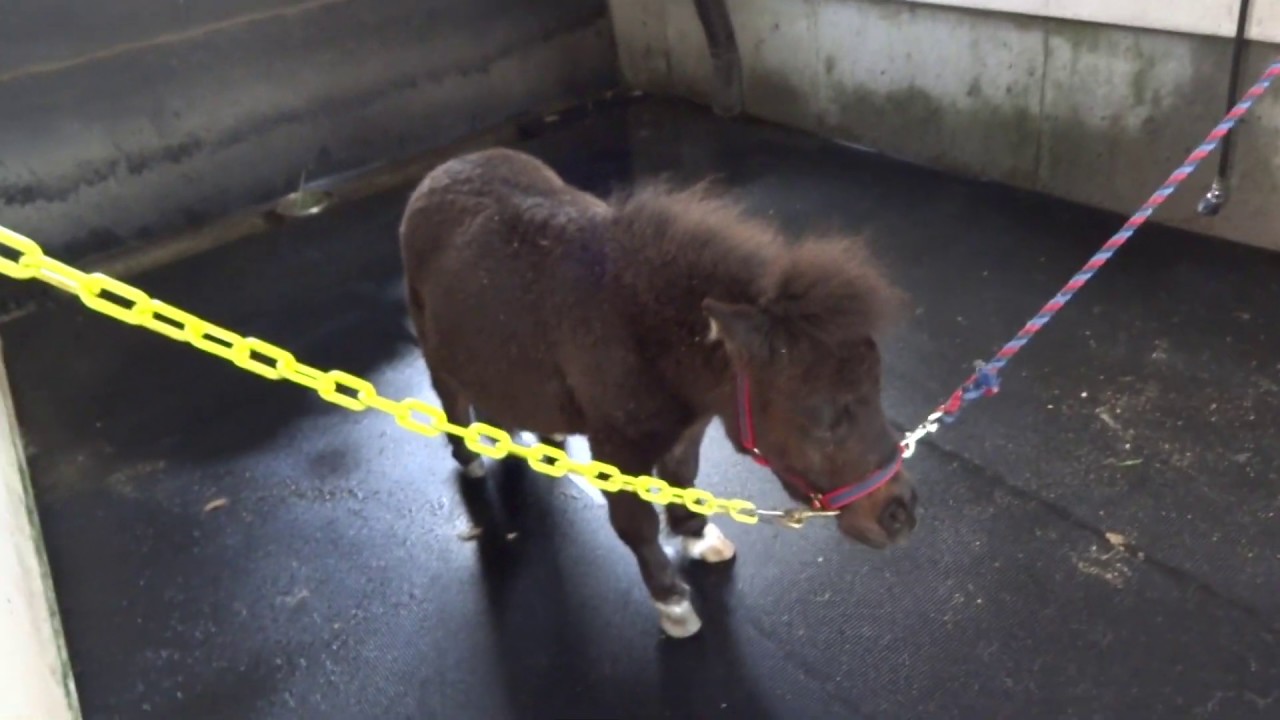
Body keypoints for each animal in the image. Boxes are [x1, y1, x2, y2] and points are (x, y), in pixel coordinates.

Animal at [398, 147, 917, 638]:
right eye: (822, 416)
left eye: (877, 389)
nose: (902, 514)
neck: (648, 332)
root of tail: (440, 172)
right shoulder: (616, 448)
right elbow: (637, 524)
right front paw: (672, 603)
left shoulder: (688, 429)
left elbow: (683, 480)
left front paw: (697, 536)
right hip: (435, 350)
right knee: (452, 398)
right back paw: (470, 456)